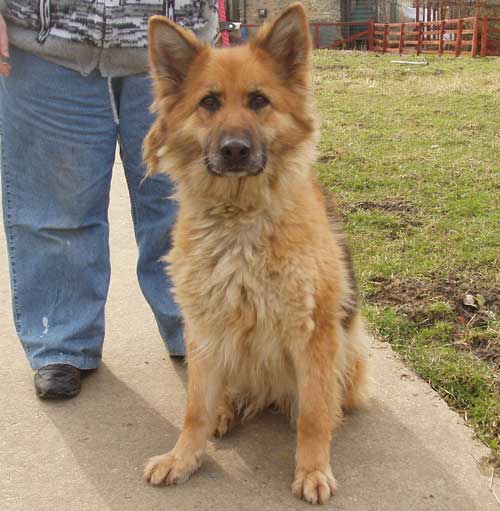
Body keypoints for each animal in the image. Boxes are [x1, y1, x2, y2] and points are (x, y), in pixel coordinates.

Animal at [143, 4, 370, 506]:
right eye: (209, 103)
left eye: (259, 101)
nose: (234, 150)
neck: (239, 216)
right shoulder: (204, 329)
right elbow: (195, 407)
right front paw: (184, 456)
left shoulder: (315, 333)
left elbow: (312, 415)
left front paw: (312, 468)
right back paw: (228, 407)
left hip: (347, 349)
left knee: (326, 401)